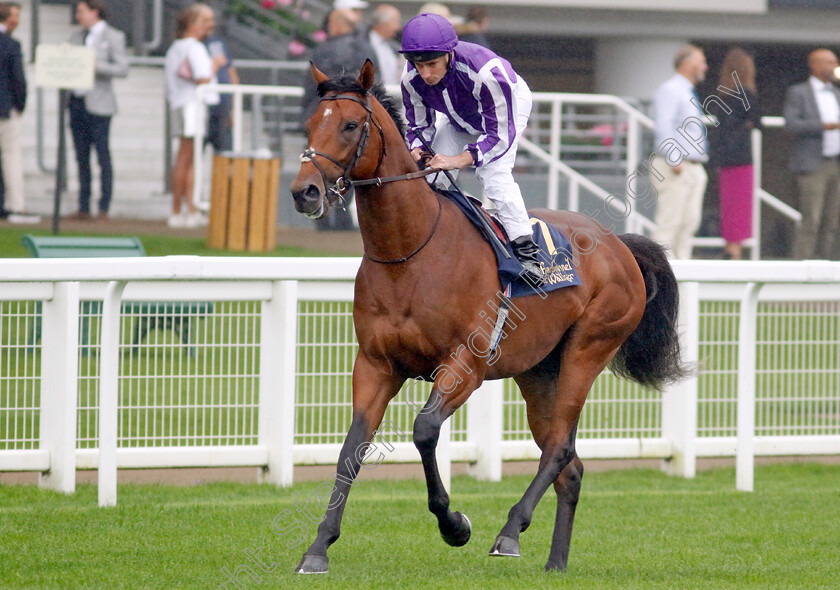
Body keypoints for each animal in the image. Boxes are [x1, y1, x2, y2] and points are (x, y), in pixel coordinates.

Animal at [292, 62, 684, 576]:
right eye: (308, 124)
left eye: (351, 125)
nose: (304, 191)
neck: (409, 252)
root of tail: (619, 242)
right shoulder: (375, 364)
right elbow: (351, 449)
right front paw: (318, 546)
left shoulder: (466, 365)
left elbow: (425, 431)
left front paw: (454, 524)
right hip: (539, 372)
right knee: (571, 465)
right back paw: (555, 563)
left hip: (590, 347)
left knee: (559, 449)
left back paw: (509, 531)